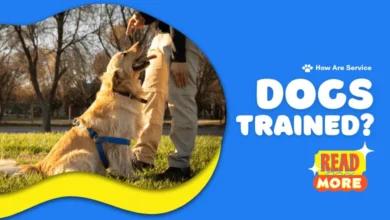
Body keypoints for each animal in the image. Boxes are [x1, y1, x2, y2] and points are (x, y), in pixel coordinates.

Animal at [0, 43, 155, 179]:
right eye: (125, 54)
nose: (139, 42)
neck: (121, 92)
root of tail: (40, 165)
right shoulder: (119, 141)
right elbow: (124, 163)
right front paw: (133, 177)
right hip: (84, 154)